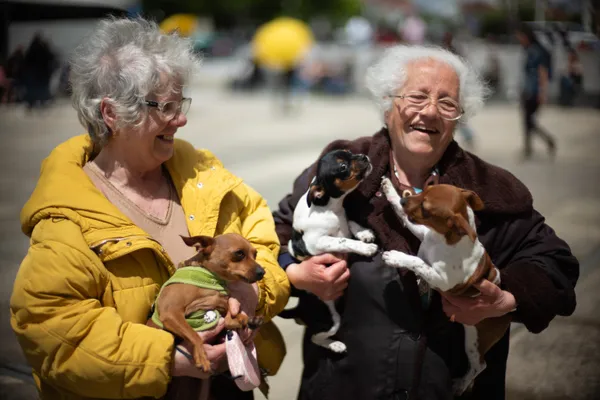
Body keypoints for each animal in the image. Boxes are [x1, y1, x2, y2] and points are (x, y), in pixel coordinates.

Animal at [380, 179, 510, 396]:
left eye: (426, 209)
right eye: (424, 189)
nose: (404, 199)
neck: (442, 240)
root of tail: (509, 315)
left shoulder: (441, 279)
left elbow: (418, 262)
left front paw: (397, 257)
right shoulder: (422, 232)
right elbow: (402, 215)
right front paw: (389, 188)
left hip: (474, 339)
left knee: (479, 365)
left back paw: (461, 384)